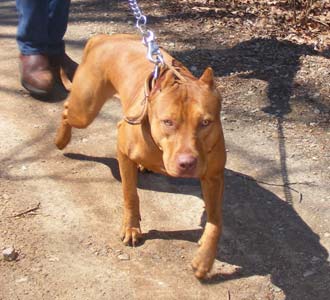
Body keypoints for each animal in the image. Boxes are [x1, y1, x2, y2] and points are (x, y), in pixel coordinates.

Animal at [55, 34, 227, 278]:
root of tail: (103, 37)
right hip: (85, 110)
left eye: (205, 122)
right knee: (67, 109)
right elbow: (130, 195)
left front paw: (204, 259)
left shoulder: (213, 177)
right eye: (168, 122)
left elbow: (216, 222)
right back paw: (61, 140)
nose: (187, 163)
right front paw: (131, 227)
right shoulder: (123, 152)